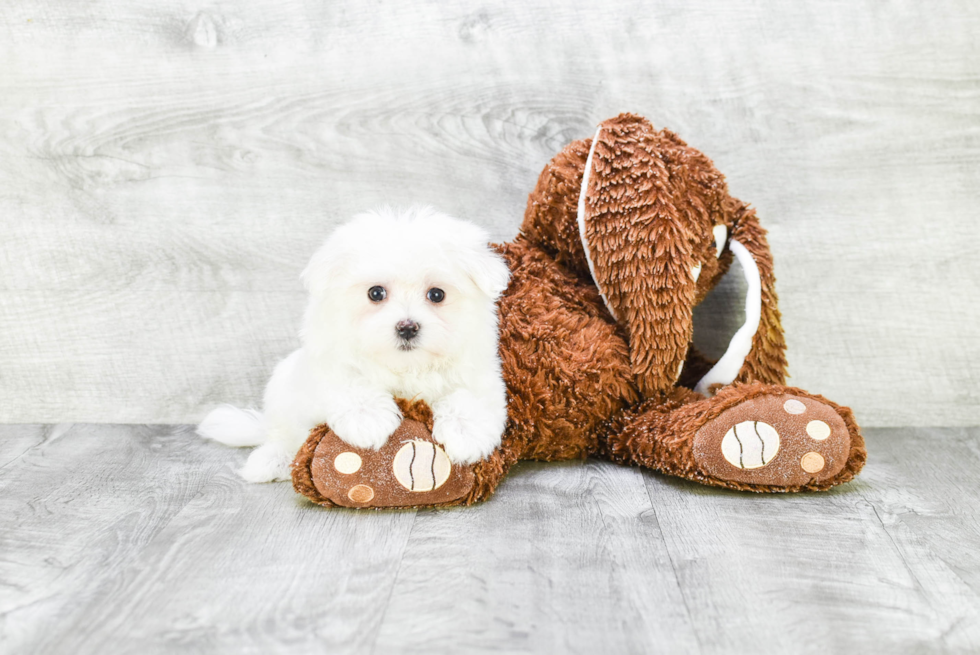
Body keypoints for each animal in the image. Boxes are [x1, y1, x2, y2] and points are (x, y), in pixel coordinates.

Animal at [203, 208, 516, 484]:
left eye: (437, 294)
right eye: (375, 293)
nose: (407, 327)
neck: (406, 367)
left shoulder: (480, 369)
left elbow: (470, 396)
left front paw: (465, 432)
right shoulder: (328, 359)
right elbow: (350, 380)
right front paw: (368, 418)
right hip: (282, 391)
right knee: (282, 434)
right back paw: (271, 460)